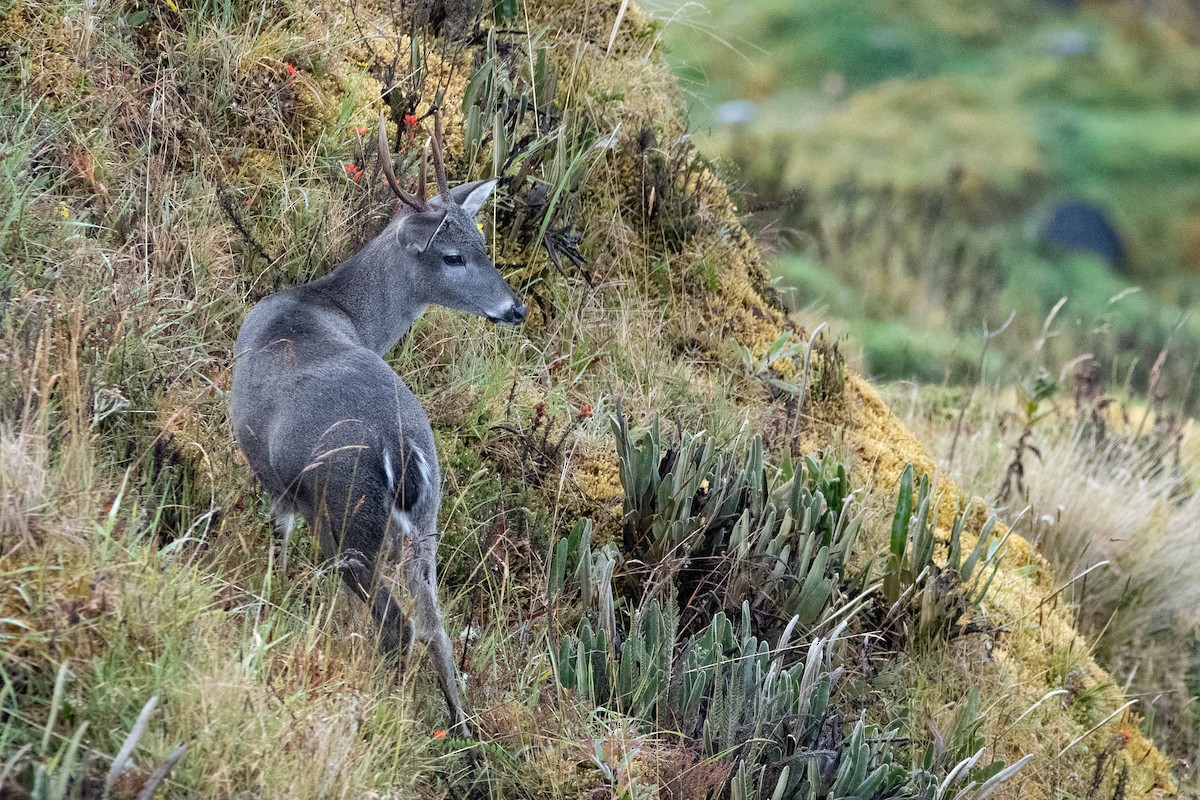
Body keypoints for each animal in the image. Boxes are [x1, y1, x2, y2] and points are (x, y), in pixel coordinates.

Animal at [230, 109, 525, 738]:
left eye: (480, 244)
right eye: (457, 254)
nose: (515, 308)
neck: (332, 308)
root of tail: (402, 446)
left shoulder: (274, 477)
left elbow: (277, 548)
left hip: (348, 510)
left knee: (396, 622)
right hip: (428, 516)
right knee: (435, 626)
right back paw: (461, 731)